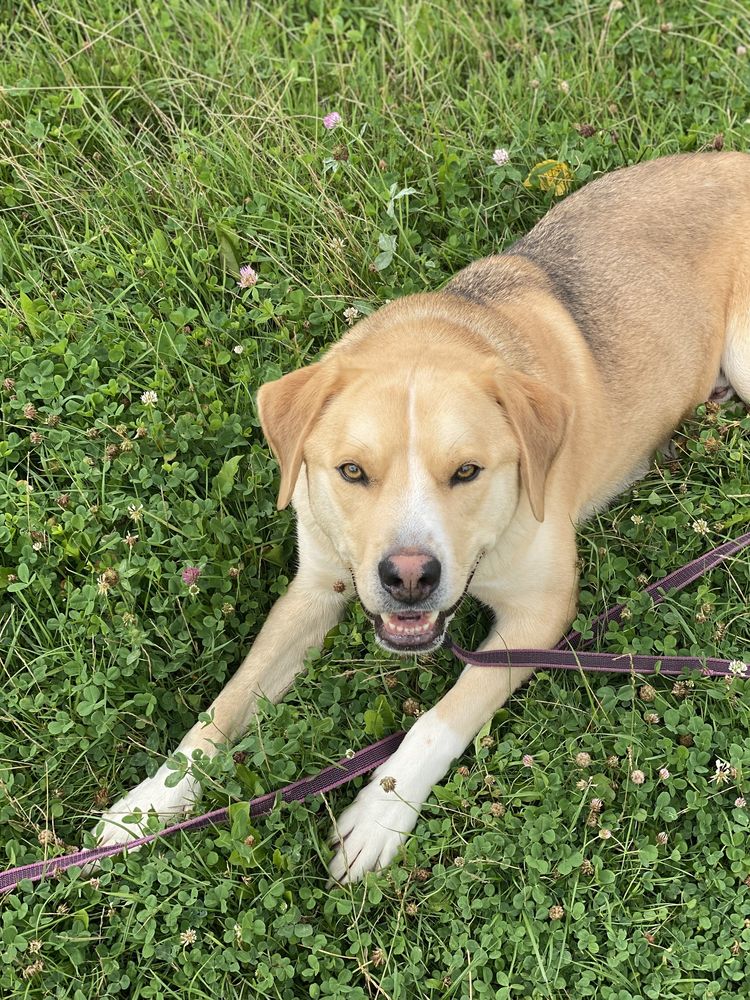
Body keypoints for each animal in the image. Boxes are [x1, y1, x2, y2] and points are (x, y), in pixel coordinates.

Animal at [97, 150, 750, 884]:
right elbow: (225, 706)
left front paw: (381, 810)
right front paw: (149, 803)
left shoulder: (541, 610)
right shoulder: (317, 585)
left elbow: (442, 716)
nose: (409, 577)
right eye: (352, 471)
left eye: (466, 471)